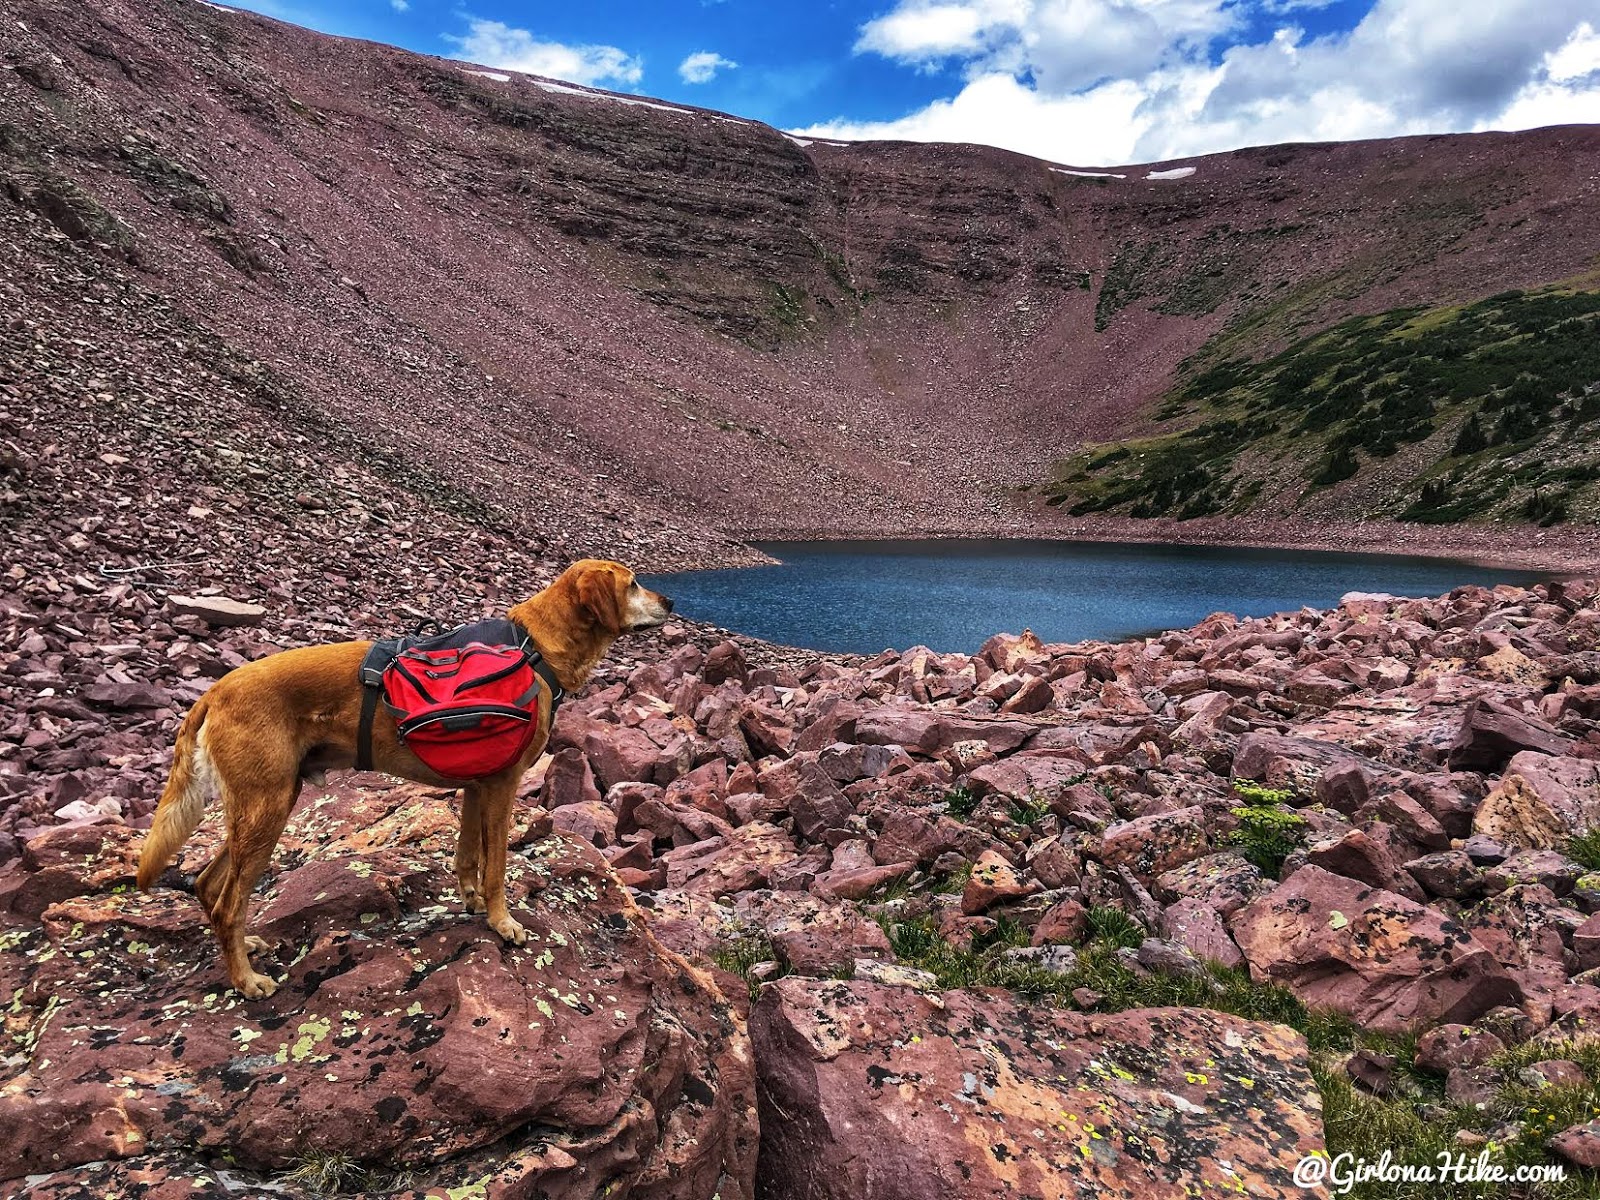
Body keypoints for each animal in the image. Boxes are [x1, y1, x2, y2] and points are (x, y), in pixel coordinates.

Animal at [136, 560, 675, 998]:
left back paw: (245, 946)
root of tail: (214, 692)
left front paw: (471, 902)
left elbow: (467, 856)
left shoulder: (477, 785)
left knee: (209, 885)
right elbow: (497, 867)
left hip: (264, 805)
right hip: (266, 806)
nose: (672, 602)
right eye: (633, 583)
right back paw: (246, 981)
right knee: (229, 901)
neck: (536, 648)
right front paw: (503, 923)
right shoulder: (502, 786)